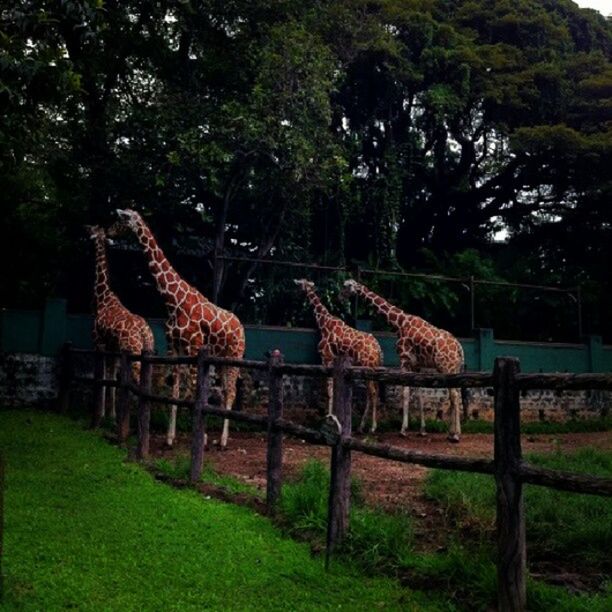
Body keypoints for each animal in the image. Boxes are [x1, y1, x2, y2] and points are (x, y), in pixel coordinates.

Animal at [86, 227, 155, 418]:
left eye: (94, 229)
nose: (85, 229)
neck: (102, 297)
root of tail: (144, 331)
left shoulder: (98, 342)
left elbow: (102, 376)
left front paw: (101, 413)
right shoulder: (114, 348)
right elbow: (111, 377)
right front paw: (111, 414)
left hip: (133, 349)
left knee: (138, 382)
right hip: (147, 348)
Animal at [113, 208, 245, 448]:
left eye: (123, 219)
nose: (110, 231)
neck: (174, 302)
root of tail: (241, 327)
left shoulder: (194, 347)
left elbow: (194, 391)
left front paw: (201, 437)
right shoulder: (174, 347)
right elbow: (174, 392)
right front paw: (170, 437)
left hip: (235, 354)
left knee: (231, 391)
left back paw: (222, 441)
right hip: (222, 357)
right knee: (224, 391)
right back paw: (218, 439)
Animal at [292, 280, 382, 432]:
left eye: (299, 285)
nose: (295, 293)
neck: (323, 322)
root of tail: (378, 349)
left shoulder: (326, 358)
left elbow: (329, 391)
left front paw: (328, 416)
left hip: (368, 366)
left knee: (373, 393)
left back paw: (373, 427)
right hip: (372, 368)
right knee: (372, 392)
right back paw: (362, 426)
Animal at [340, 280, 464, 442]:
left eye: (347, 285)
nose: (341, 296)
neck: (399, 322)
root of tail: (459, 348)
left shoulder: (404, 360)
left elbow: (405, 392)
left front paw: (403, 430)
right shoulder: (416, 365)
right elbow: (419, 394)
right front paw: (422, 430)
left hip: (446, 368)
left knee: (454, 396)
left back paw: (455, 435)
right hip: (454, 368)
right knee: (456, 394)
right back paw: (453, 432)